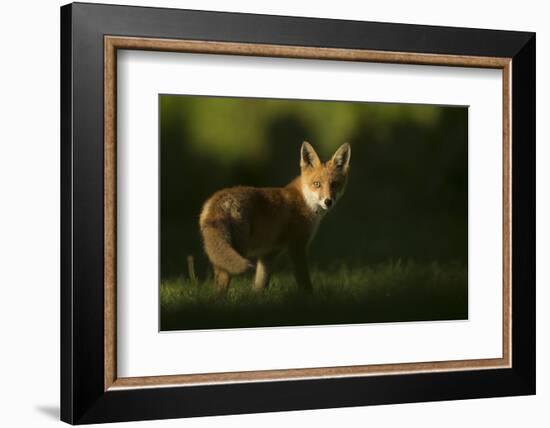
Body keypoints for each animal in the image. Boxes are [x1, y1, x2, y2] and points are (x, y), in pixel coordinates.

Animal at [201, 142, 352, 292]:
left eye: (334, 184)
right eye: (317, 184)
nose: (328, 201)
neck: (304, 200)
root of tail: (217, 200)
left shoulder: (268, 254)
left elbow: (260, 285)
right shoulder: (297, 246)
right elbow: (304, 282)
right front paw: (309, 295)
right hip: (238, 249)